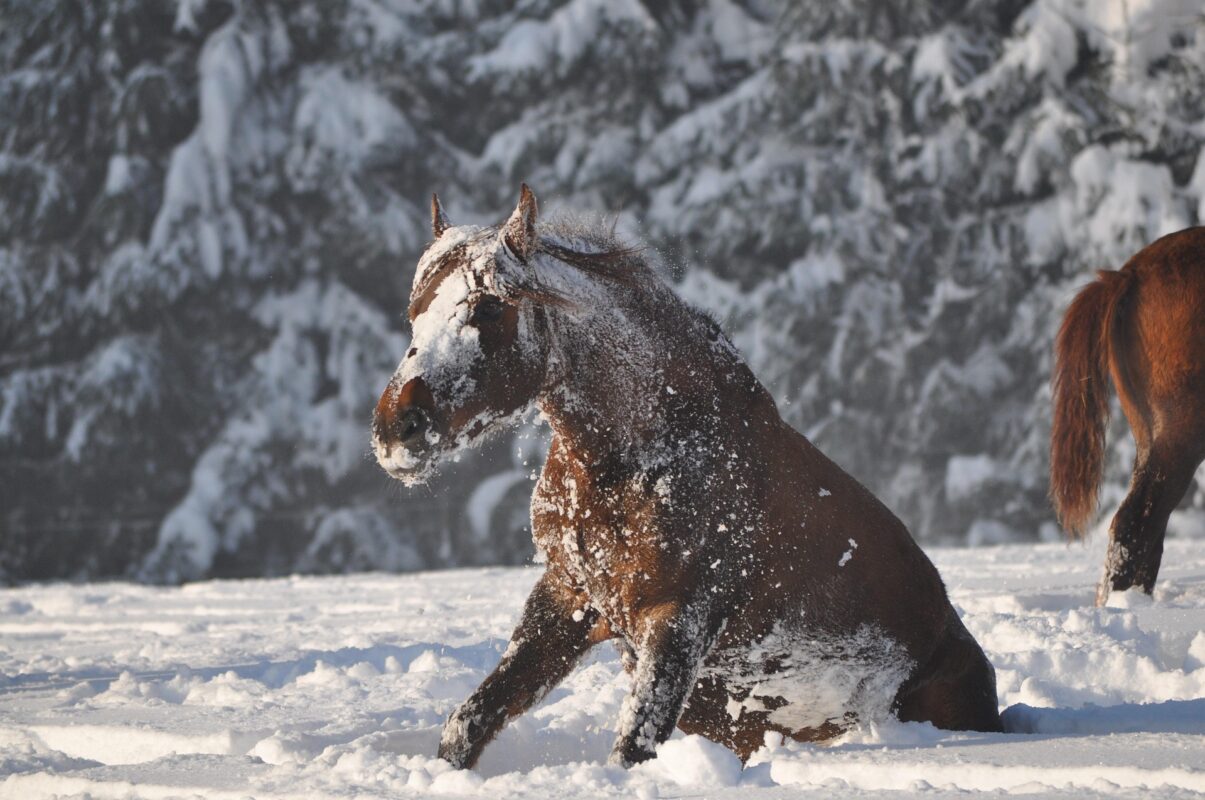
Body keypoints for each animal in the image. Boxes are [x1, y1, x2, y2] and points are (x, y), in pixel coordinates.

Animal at [372, 185, 1002, 769]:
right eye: (415, 313)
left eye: (487, 309)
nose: (395, 430)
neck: (636, 460)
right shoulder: (570, 598)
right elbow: (470, 722)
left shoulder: (679, 618)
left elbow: (633, 745)